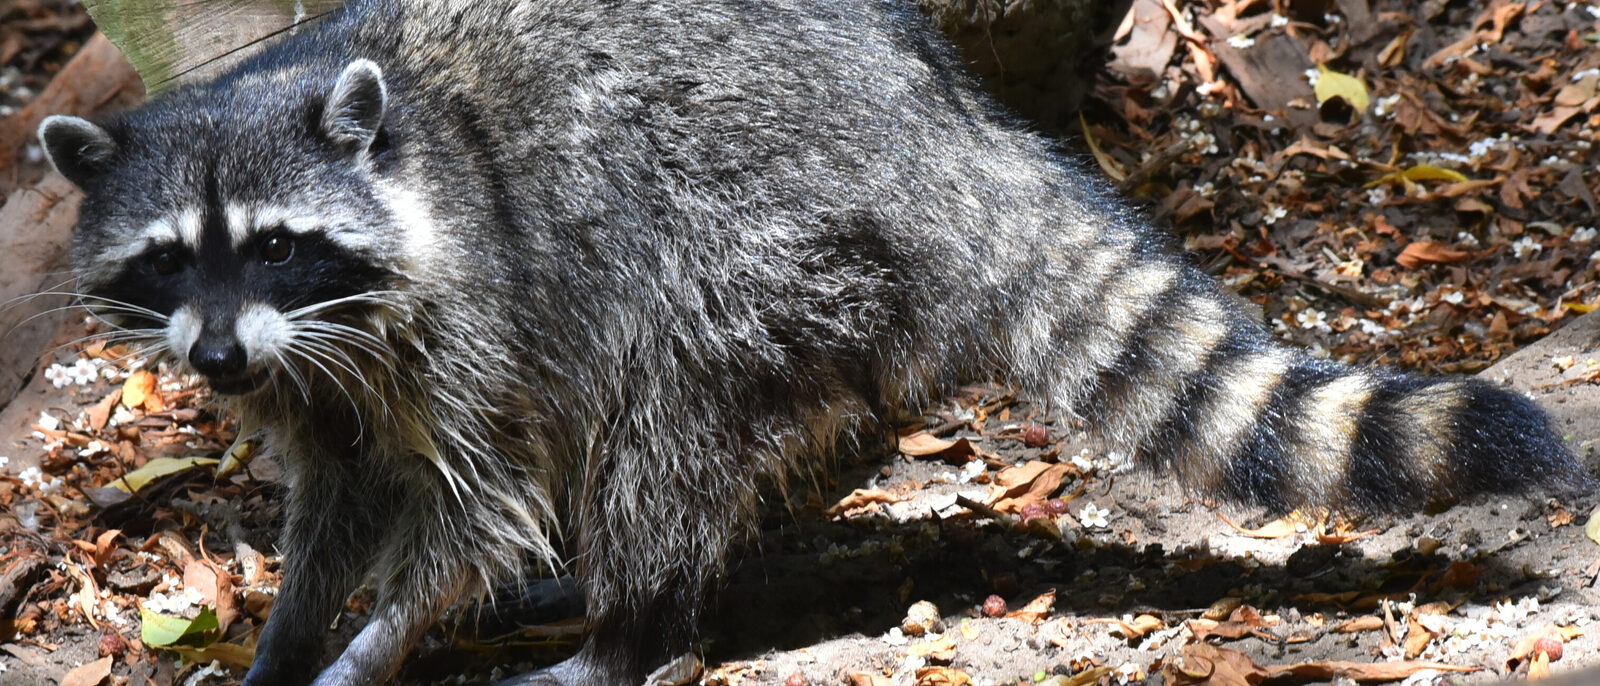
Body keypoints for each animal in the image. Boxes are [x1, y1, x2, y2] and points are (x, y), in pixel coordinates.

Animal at [36, 0, 1589, 684]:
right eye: (170, 258)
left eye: (277, 242)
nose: (216, 363)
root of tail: (949, 134)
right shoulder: (318, 365)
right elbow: (342, 488)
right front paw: (290, 632)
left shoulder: (468, 297)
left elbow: (476, 499)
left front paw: (374, 640)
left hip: (762, 224)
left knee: (660, 410)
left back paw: (629, 630)